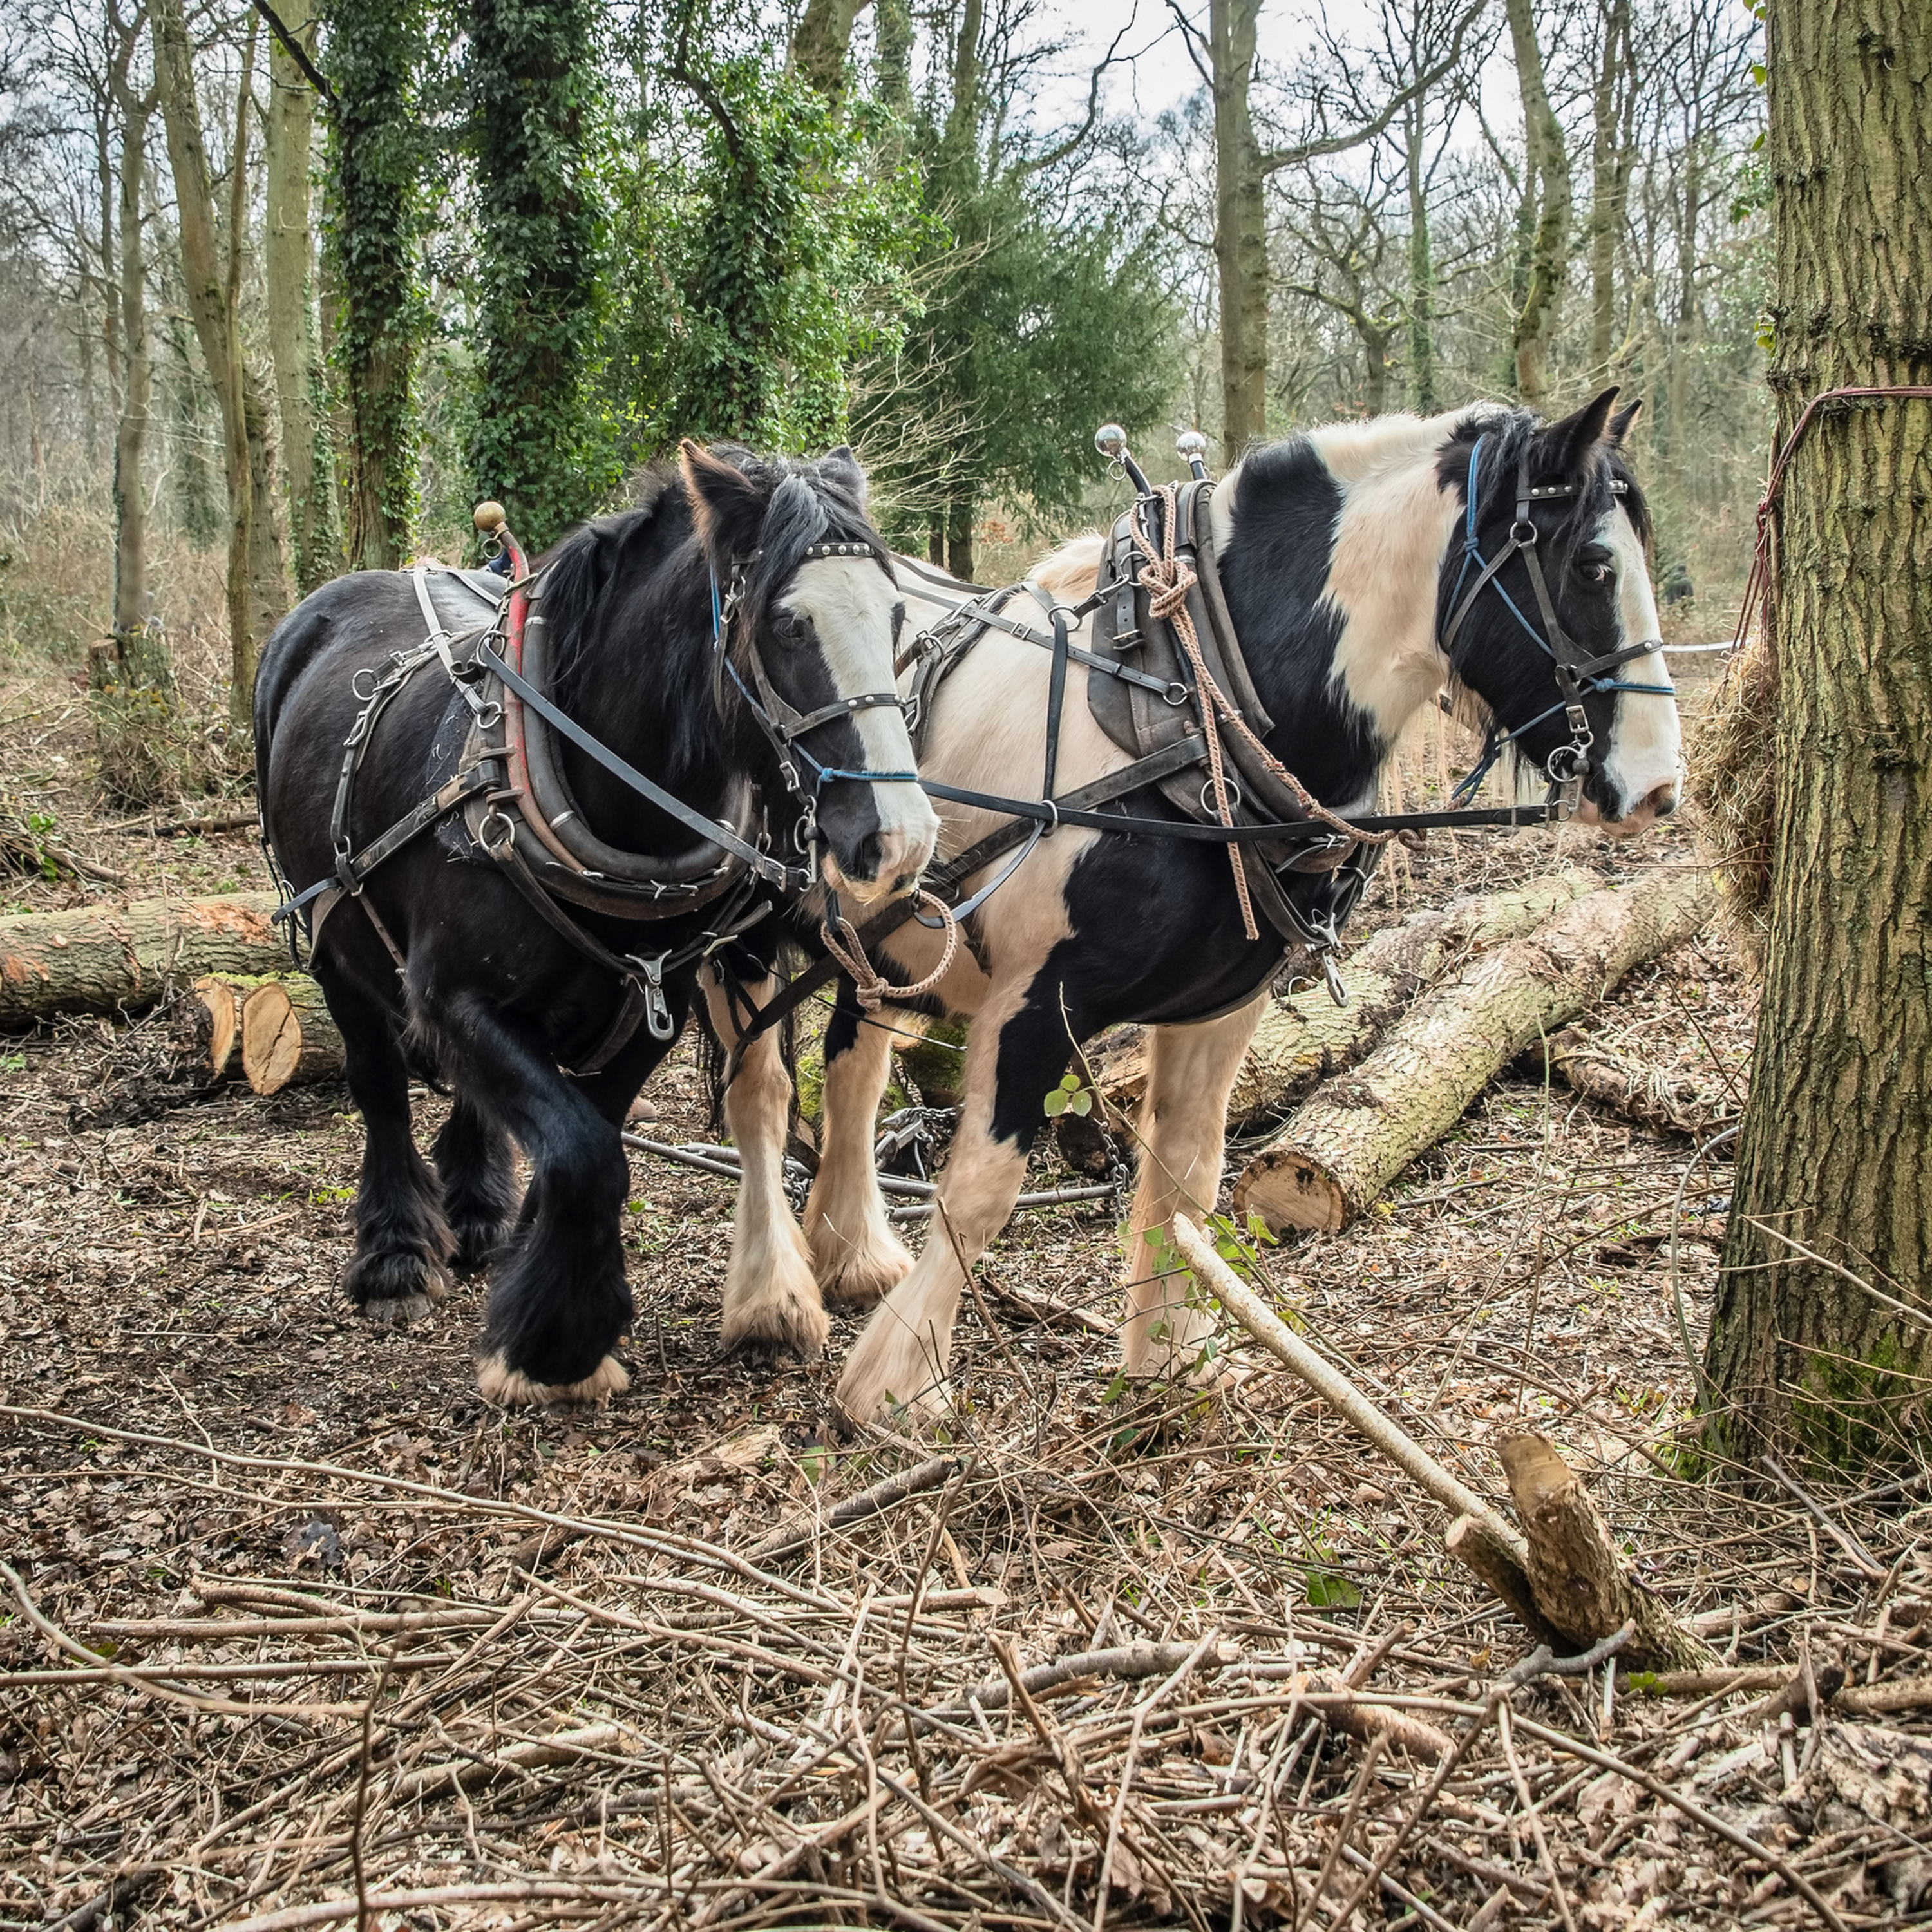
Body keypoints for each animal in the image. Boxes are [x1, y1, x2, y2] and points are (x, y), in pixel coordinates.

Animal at [254, 442, 938, 1405]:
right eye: (789, 626)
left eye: (898, 614)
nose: (899, 837)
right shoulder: (453, 998)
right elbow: (584, 1153)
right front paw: (558, 1344)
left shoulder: (656, 1002)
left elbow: (591, 1139)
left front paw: (538, 1291)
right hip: (329, 935)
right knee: (378, 1082)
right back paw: (396, 1255)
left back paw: (478, 1213)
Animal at [709, 389, 1684, 1423]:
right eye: (1592, 566)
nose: (1660, 786)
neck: (1196, 701)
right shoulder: (1038, 999)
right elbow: (982, 1187)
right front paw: (898, 1383)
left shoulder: (1225, 1002)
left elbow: (1186, 1178)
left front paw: (1168, 1364)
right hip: (739, 940)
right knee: (761, 1095)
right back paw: (774, 1295)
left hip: (883, 941)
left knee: (854, 1067)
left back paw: (851, 1252)